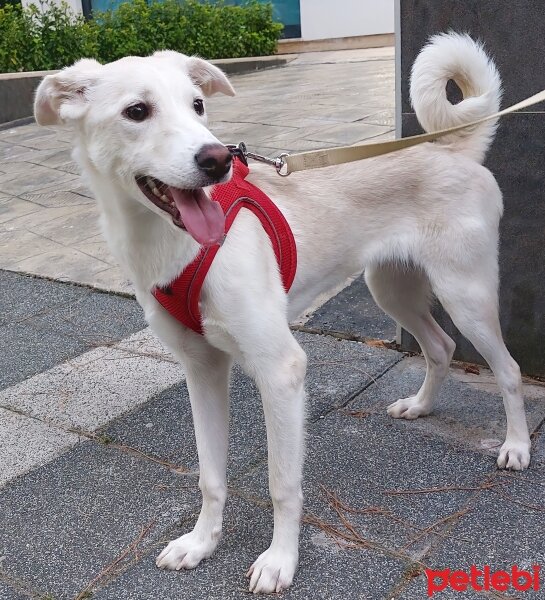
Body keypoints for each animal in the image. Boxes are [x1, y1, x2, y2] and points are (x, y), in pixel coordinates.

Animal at [33, 32, 528, 596]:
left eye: (197, 105)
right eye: (137, 111)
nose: (217, 159)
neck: (168, 243)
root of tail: (450, 146)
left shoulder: (281, 371)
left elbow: (281, 483)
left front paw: (280, 560)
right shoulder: (201, 370)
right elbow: (210, 474)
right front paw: (201, 543)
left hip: (466, 295)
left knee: (507, 368)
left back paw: (516, 446)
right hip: (392, 289)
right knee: (440, 347)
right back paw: (420, 406)